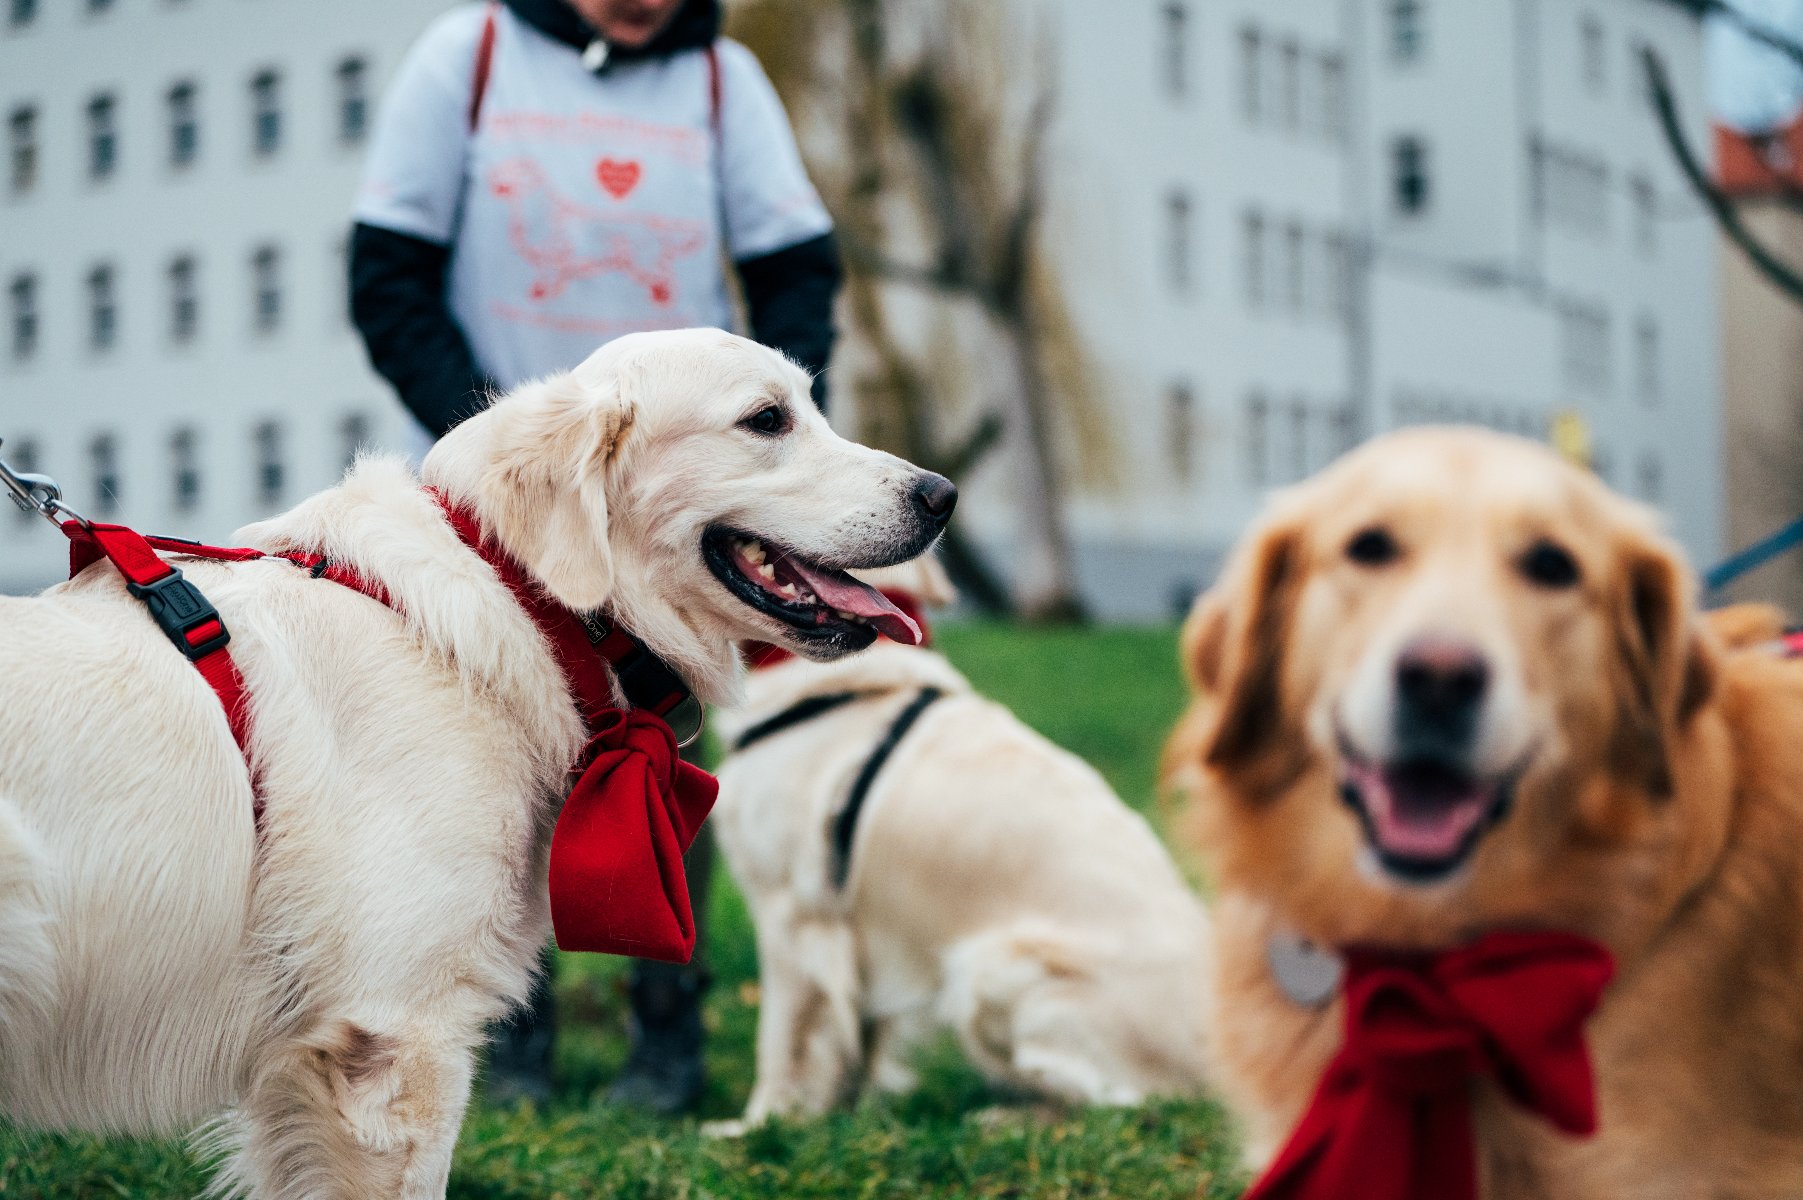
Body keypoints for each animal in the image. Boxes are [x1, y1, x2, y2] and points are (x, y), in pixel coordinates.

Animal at [703, 554, 1211, 1124]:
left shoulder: (791, 914)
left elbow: (780, 1038)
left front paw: (760, 1123)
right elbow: (854, 1040)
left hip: (988, 964)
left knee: (1119, 1102)